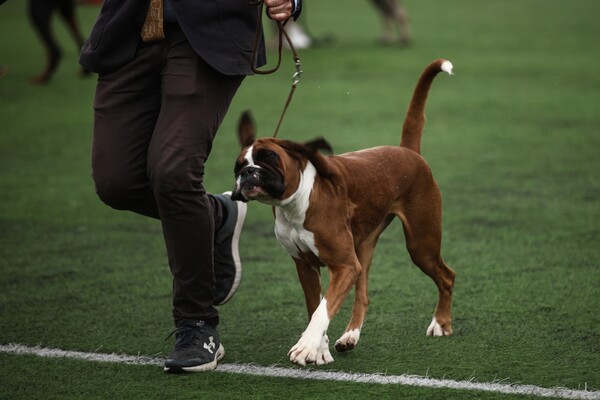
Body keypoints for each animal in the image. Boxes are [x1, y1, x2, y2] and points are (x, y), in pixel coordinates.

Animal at [231, 58, 454, 366]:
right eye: (239, 165)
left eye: (270, 158)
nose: (249, 173)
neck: (296, 203)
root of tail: (407, 151)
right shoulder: (307, 266)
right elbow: (317, 307)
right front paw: (320, 350)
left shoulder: (344, 265)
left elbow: (322, 310)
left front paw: (306, 347)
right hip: (364, 247)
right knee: (363, 295)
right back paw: (350, 337)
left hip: (421, 244)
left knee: (447, 276)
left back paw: (441, 323)